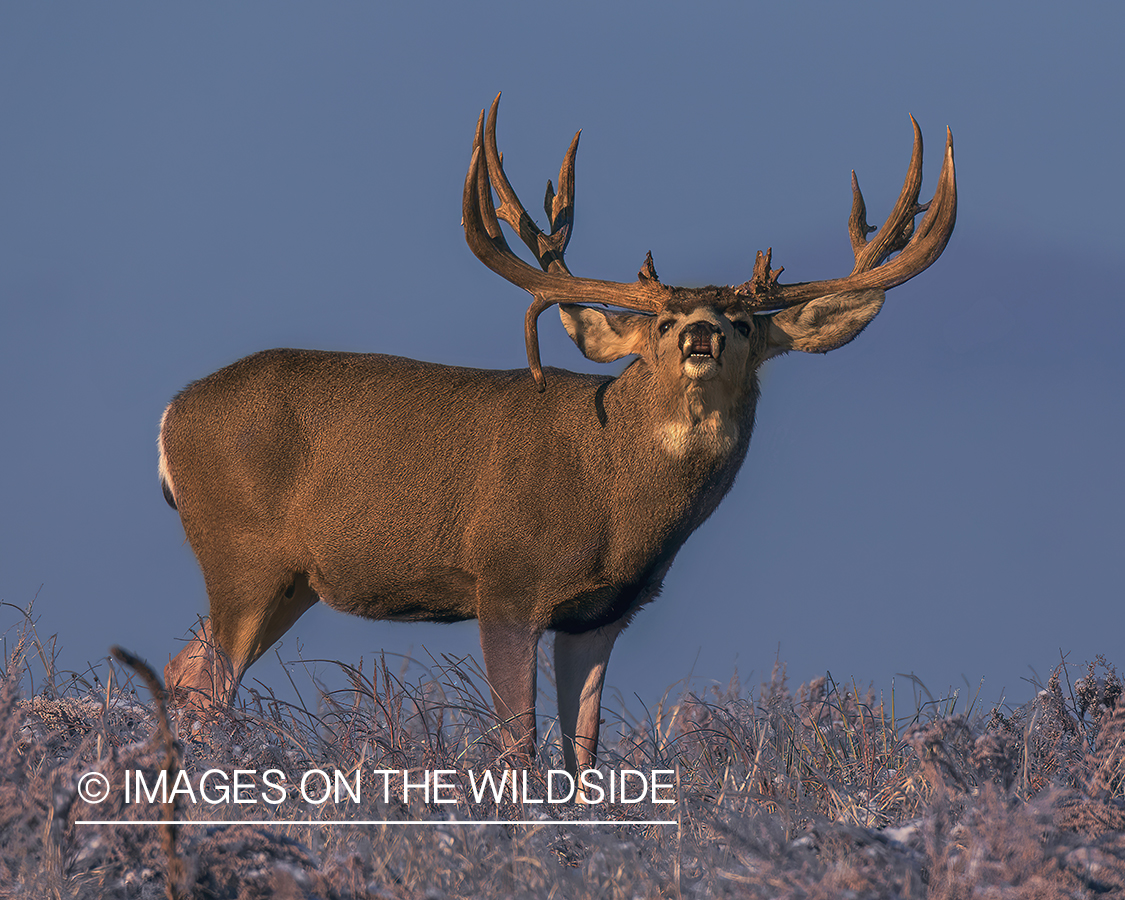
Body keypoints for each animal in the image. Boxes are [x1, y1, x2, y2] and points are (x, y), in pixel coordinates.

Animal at [156, 95, 949, 778]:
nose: (700, 332)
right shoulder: (504, 579)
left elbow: (583, 754)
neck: (612, 498)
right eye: (661, 321)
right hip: (240, 551)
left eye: (747, 323)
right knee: (209, 686)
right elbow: (518, 744)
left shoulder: (602, 613)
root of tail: (170, 414)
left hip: (289, 578)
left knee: (181, 671)